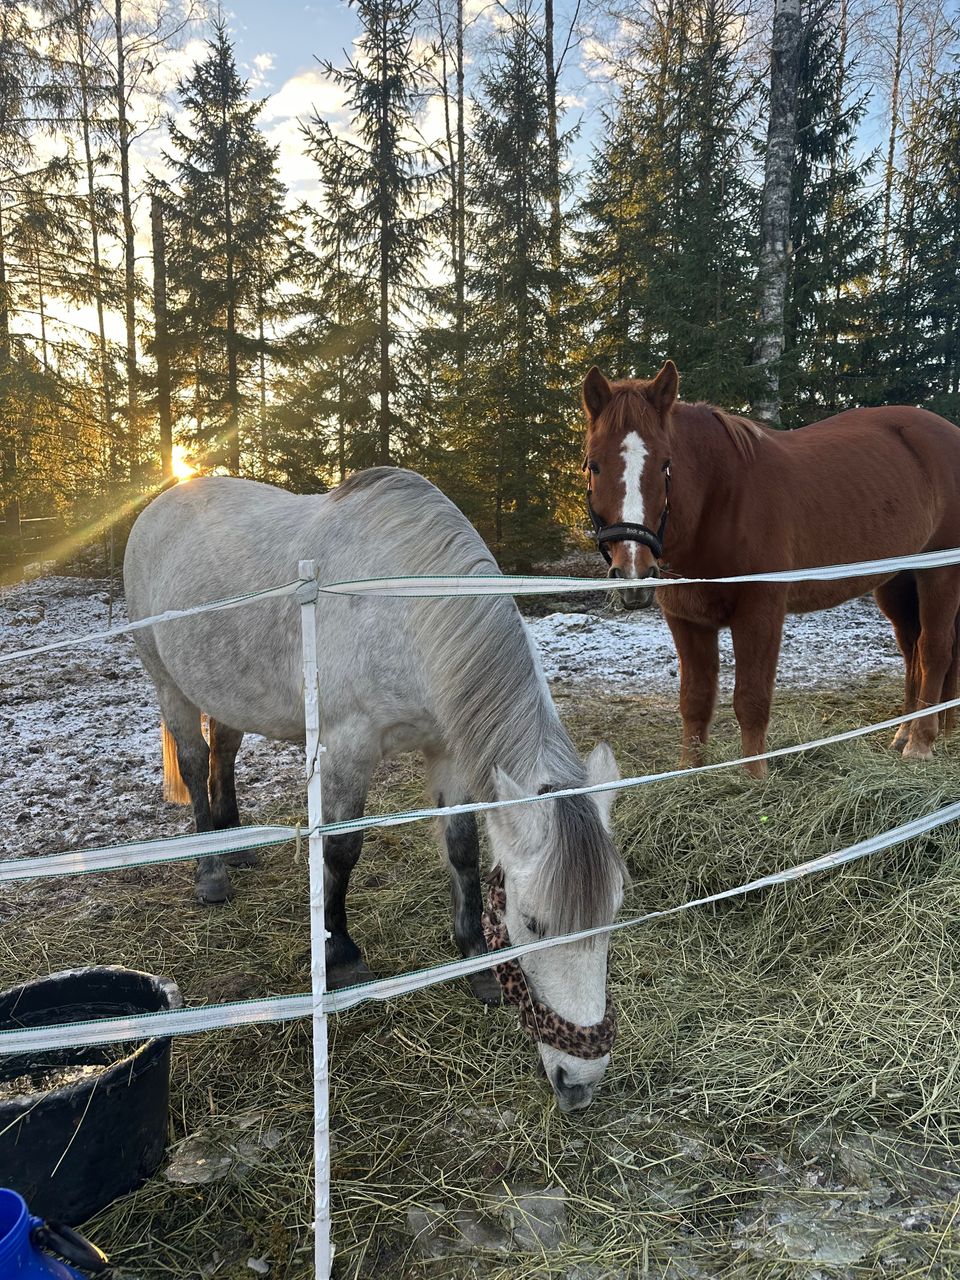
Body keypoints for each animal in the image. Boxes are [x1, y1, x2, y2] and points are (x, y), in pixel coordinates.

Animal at [124, 471, 627, 1111]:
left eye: (613, 913)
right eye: (533, 922)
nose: (580, 1083)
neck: (404, 608)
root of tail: (162, 502)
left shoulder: (446, 748)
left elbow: (462, 846)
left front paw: (474, 957)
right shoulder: (348, 747)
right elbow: (342, 851)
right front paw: (341, 956)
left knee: (224, 753)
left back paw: (237, 848)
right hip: (170, 685)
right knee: (194, 763)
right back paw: (211, 873)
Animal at [583, 363, 960, 778]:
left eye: (666, 464)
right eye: (594, 464)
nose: (634, 569)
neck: (721, 497)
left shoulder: (759, 611)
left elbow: (751, 699)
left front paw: (754, 779)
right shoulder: (686, 618)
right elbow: (695, 700)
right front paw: (690, 774)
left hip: (940, 573)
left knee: (934, 650)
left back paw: (920, 743)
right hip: (897, 581)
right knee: (911, 649)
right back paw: (902, 734)